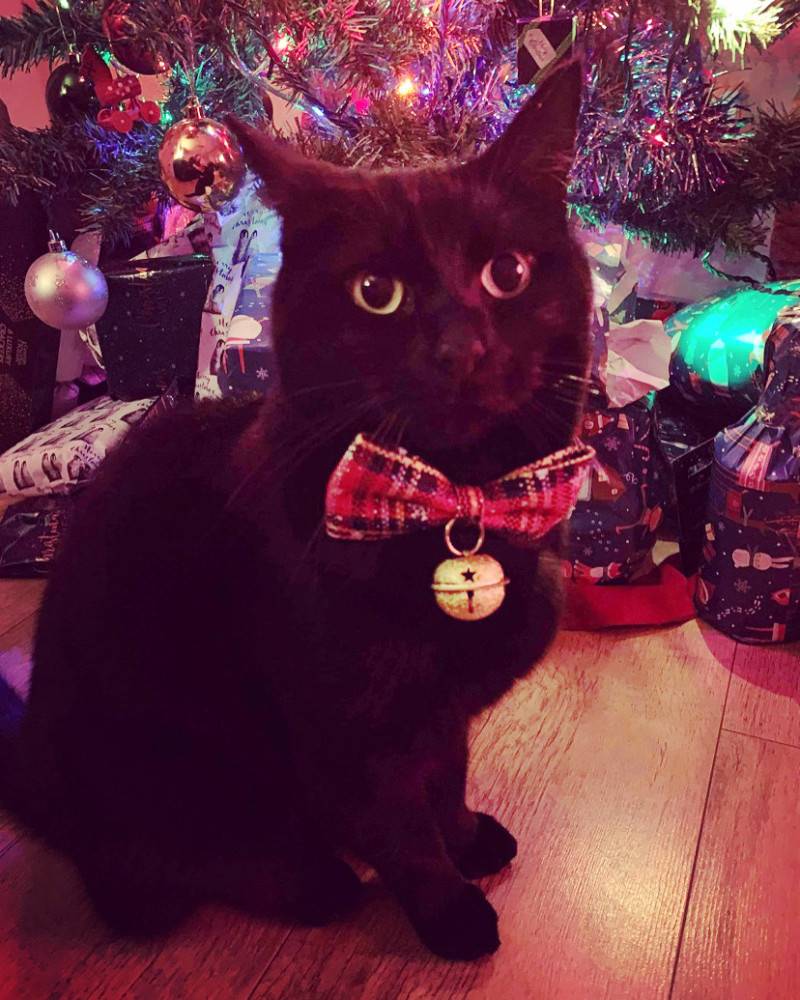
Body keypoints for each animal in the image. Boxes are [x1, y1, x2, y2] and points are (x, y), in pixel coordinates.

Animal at [1, 62, 592, 960]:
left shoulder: (439, 716)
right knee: (144, 880)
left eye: (509, 274)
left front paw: (465, 839)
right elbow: (402, 826)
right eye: (376, 293)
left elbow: (446, 778)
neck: (458, 503)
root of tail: (27, 762)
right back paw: (311, 879)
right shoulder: (346, 728)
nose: (461, 349)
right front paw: (448, 910)